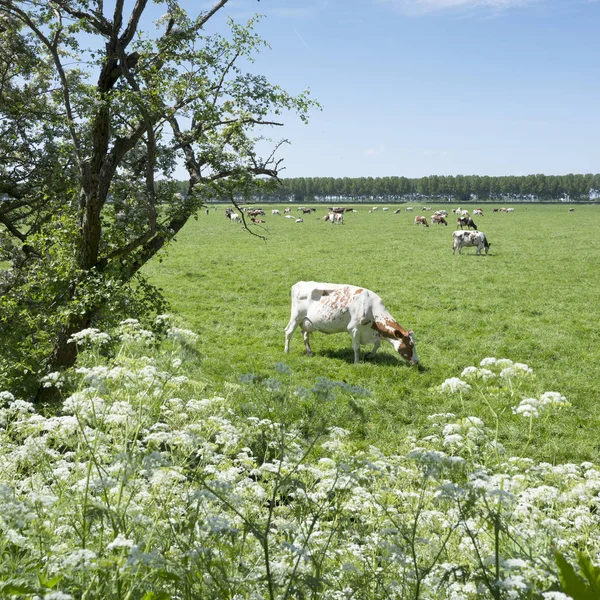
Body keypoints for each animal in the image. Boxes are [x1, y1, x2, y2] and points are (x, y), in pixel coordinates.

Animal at [284, 282, 418, 366]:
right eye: (411, 344)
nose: (417, 362)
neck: (371, 308)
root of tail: (299, 283)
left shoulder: (370, 331)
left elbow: (377, 344)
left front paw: (370, 355)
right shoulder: (354, 329)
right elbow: (357, 348)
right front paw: (357, 362)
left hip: (307, 322)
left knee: (305, 334)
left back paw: (309, 352)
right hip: (296, 317)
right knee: (288, 332)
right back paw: (286, 351)